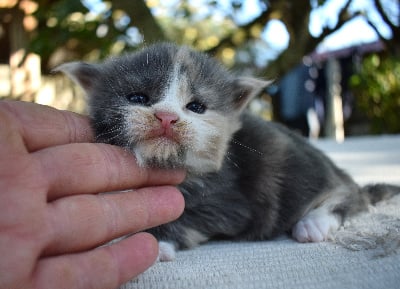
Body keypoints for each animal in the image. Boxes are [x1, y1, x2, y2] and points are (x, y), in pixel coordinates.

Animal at [56, 42, 400, 260]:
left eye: (196, 106)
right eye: (138, 98)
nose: (166, 116)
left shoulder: (231, 203)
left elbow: (188, 218)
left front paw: (157, 240)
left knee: (351, 196)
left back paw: (314, 222)